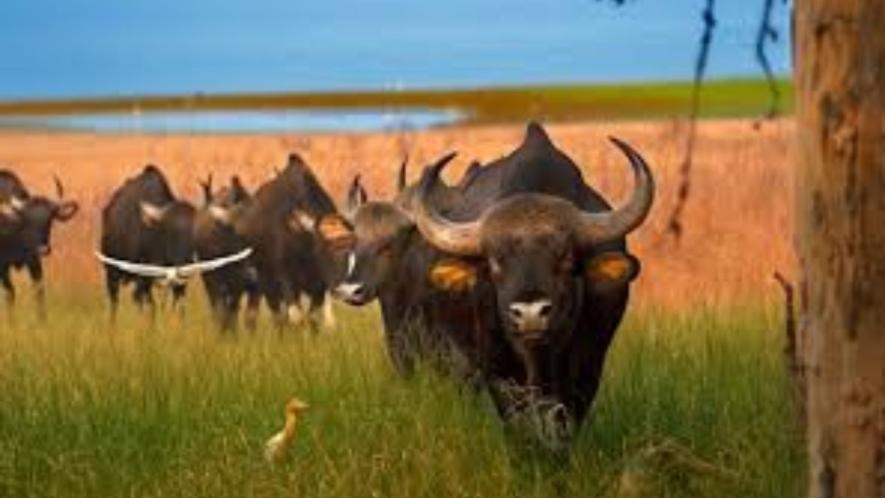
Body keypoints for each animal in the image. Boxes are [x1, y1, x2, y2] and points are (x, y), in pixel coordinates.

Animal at [0, 170, 79, 318]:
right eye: (28, 221)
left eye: (49, 219)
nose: (42, 250)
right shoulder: (2, 268)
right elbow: (10, 293)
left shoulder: (34, 262)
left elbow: (39, 291)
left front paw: (42, 319)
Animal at [100, 165, 197, 320]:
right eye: (170, 230)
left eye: (195, 231)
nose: (186, 261)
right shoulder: (142, 278)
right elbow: (151, 307)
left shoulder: (179, 285)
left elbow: (179, 309)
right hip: (111, 273)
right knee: (115, 302)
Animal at [194, 174, 259, 331]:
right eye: (236, 234)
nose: (252, 276)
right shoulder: (224, 283)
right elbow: (226, 312)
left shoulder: (248, 287)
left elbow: (245, 315)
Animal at [208, 153, 353, 329]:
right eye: (324, 249)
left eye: (349, 249)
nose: (339, 288)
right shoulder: (285, 280)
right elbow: (295, 317)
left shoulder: (317, 287)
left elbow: (312, 319)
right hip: (266, 283)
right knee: (277, 316)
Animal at [409, 122, 655, 452]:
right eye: (495, 262)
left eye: (565, 257)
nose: (530, 313)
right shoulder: (497, 371)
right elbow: (516, 422)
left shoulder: (587, 365)